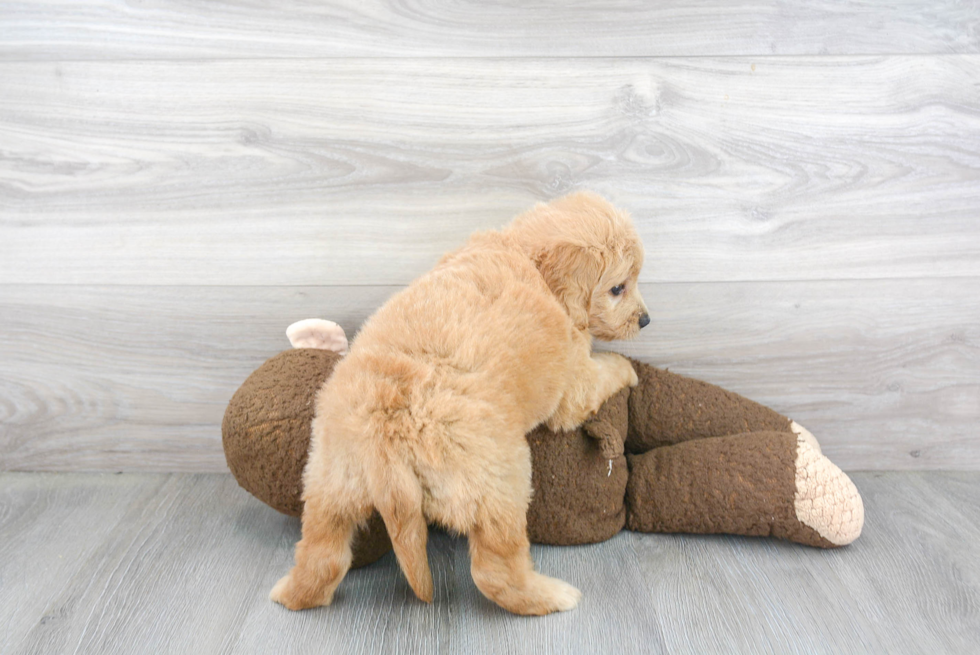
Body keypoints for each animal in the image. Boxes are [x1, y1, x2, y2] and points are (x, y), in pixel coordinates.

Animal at [270, 191, 652, 616]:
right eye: (618, 288)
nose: (646, 320)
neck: (526, 254)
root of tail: (387, 436)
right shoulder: (574, 385)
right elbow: (605, 370)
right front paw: (629, 368)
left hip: (329, 479)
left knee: (323, 555)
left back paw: (289, 592)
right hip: (500, 481)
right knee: (495, 572)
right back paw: (552, 596)